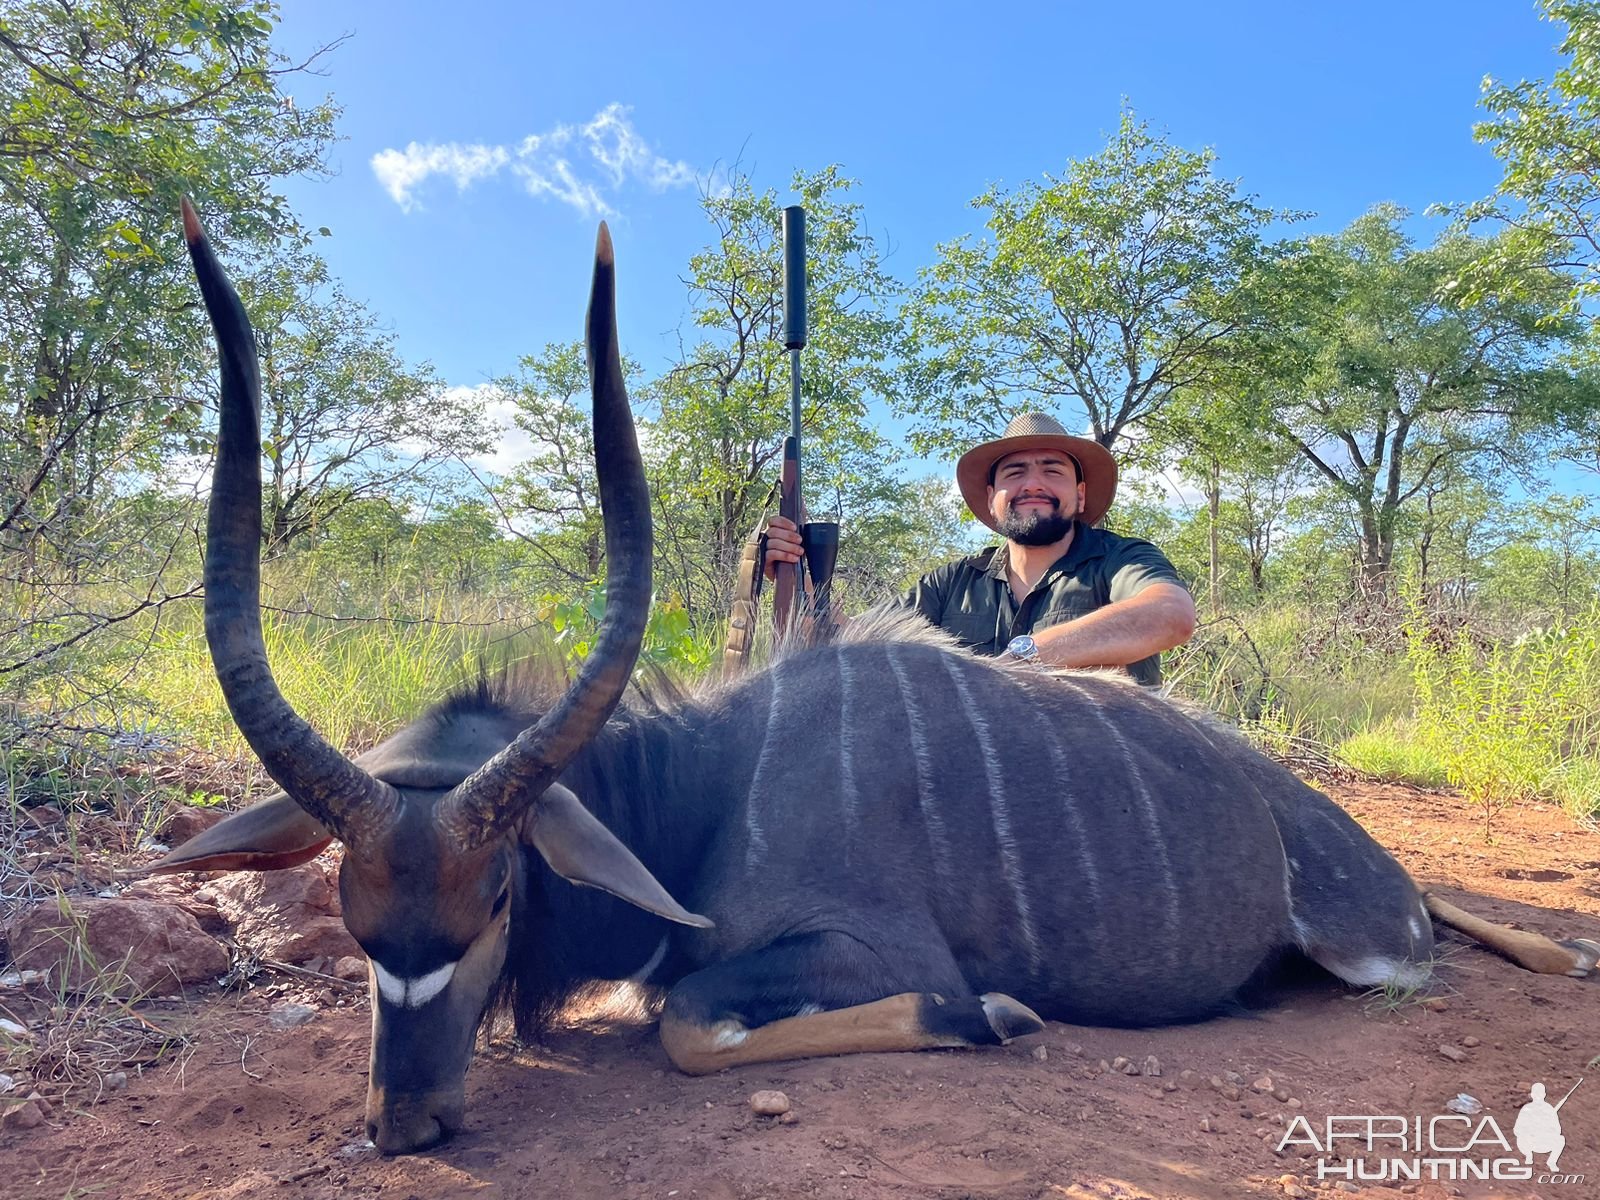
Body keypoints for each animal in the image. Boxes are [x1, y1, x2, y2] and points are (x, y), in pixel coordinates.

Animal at [159, 202, 1600, 1158]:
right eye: (355, 919)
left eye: (501, 893)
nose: (403, 1123)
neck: (703, 791)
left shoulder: (864, 948)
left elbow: (694, 1021)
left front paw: (1002, 1013)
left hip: (1371, 953)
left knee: (1414, 949)